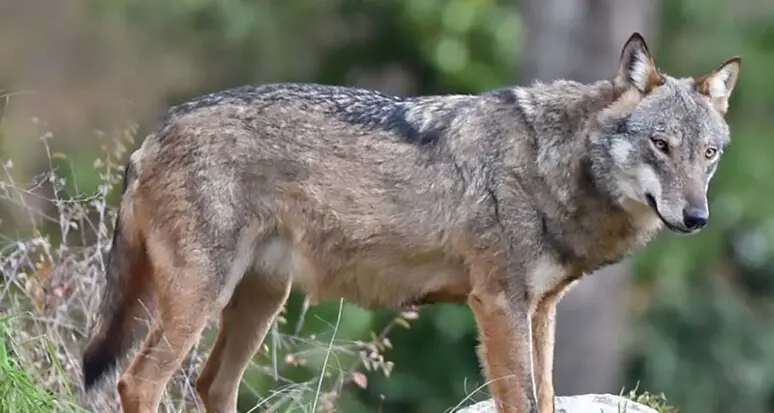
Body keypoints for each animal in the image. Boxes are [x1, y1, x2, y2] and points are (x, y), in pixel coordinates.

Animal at [80, 32, 740, 413]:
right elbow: (524, 400)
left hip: (259, 302)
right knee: (139, 382)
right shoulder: (498, 303)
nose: (697, 217)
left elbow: (548, 398)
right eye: (660, 145)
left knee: (212, 384)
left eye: (708, 154)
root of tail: (152, 136)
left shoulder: (541, 309)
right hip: (201, 300)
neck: (553, 162)